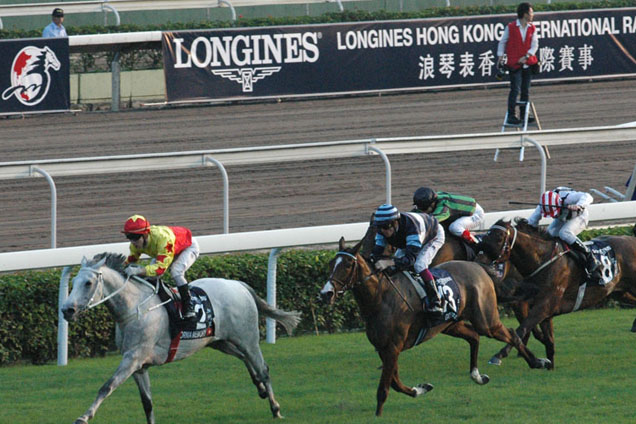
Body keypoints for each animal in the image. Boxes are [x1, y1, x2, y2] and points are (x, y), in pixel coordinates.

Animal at [62, 253, 300, 422]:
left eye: (88, 283)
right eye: (72, 283)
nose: (67, 310)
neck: (135, 308)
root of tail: (238, 285)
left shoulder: (133, 358)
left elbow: (107, 386)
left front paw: (84, 416)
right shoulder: (139, 365)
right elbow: (147, 403)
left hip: (247, 338)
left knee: (262, 367)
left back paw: (275, 407)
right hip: (218, 341)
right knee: (243, 358)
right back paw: (259, 388)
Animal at [320, 235, 548, 418]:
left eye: (347, 265)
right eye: (331, 263)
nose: (326, 293)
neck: (381, 298)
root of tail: (479, 267)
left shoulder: (393, 347)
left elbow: (384, 387)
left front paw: (378, 415)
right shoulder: (384, 348)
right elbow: (394, 381)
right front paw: (420, 389)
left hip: (486, 320)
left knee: (510, 334)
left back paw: (537, 361)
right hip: (450, 324)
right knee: (474, 336)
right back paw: (477, 376)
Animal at [480, 219, 636, 368]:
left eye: (499, 238)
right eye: (485, 237)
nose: (481, 263)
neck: (542, 261)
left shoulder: (543, 307)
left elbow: (521, 329)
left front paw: (499, 355)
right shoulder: (543, 313)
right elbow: (549, 343)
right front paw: (548, 365)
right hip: (621, 292)